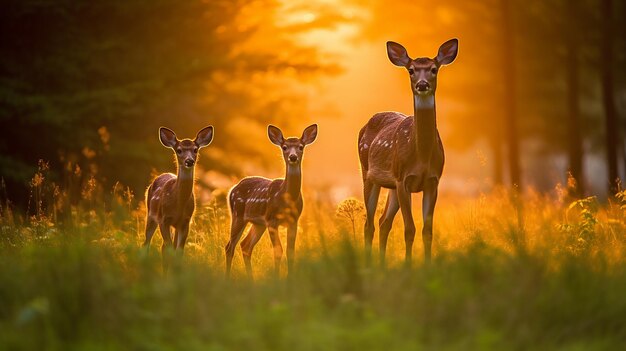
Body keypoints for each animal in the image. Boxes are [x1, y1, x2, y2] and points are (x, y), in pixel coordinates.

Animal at [141, 126, 212, 270]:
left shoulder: (185, 221)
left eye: (195, 149)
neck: (178, 204)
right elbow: (169, 250)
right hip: (151, 215)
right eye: (179, 150)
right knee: (147, 243)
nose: (189, 161)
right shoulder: (164, 219)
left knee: (163, 247)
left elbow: (179, 252)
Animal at [224, 125, 316, 280]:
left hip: (258, 223)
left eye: (301, 147)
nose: (293, 157)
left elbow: (290, 251)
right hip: (238, 214)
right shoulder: (271, 219)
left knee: (245, 245)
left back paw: (251, 279)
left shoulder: (294, 220)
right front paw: (276, 278)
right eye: (284, 147)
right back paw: (228, 278)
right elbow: (278, 250)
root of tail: (233, 189)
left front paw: (290, 279)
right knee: (229, 246)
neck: (286, 197)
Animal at [356, 38, 458, 266]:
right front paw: (408, 265)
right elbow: (409, 229)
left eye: (434, 69)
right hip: (369, 174)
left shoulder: (433, 181)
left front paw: (427, 266)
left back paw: (382, 264)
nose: (422, 84)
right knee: (369, 224)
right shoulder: (403, 179)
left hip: (391, 185)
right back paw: (368, 264)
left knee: (383, 221)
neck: (421, 156)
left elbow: (427, 230)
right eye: (411, 70)